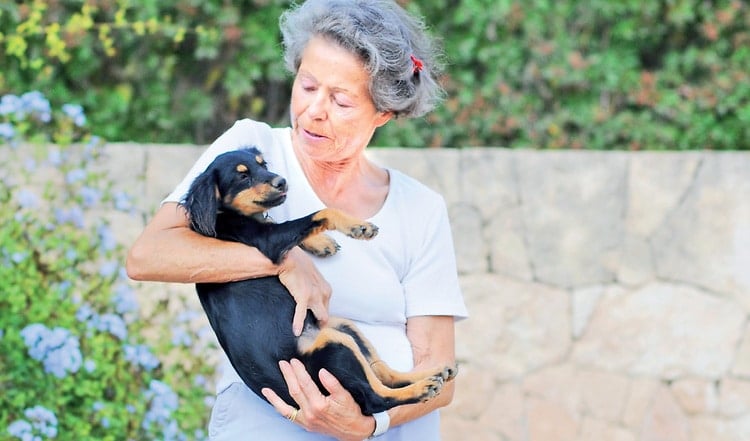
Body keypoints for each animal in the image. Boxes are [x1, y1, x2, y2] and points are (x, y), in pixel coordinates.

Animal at [181, 148, 458, 416]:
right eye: (242, 176)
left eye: (263, 165)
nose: (282, 181)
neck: (222, 214)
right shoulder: (267, 241)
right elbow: (317, 214)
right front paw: (356, 227)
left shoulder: (273, 233)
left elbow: (294, 225)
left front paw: (320, 243)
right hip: (333, 345)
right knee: (374, 398)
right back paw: (421, 388)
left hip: (344, 329)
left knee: (382, 372)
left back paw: (433, 373)